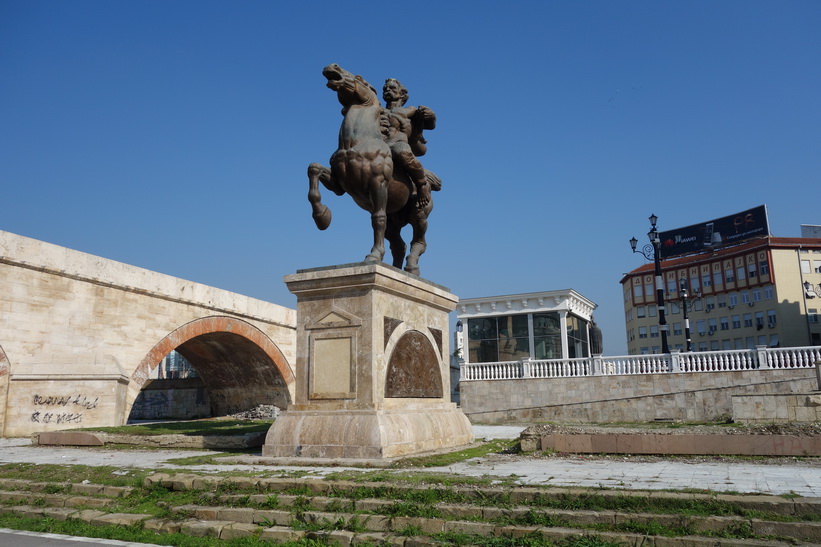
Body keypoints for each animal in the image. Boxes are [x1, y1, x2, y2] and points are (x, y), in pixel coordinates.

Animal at [308, 64, 436, 276]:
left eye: (360, 78)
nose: (333, 66)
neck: (356, 143)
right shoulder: (338, 185)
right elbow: (314, 170)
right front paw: (322, 216)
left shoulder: (378, 183)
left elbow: (378, 219)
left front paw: (374, 256)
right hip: (395, 221)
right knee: (398, 245)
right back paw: (395, 268)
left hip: (419, 214)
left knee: (419, 242)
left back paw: (411, 267)